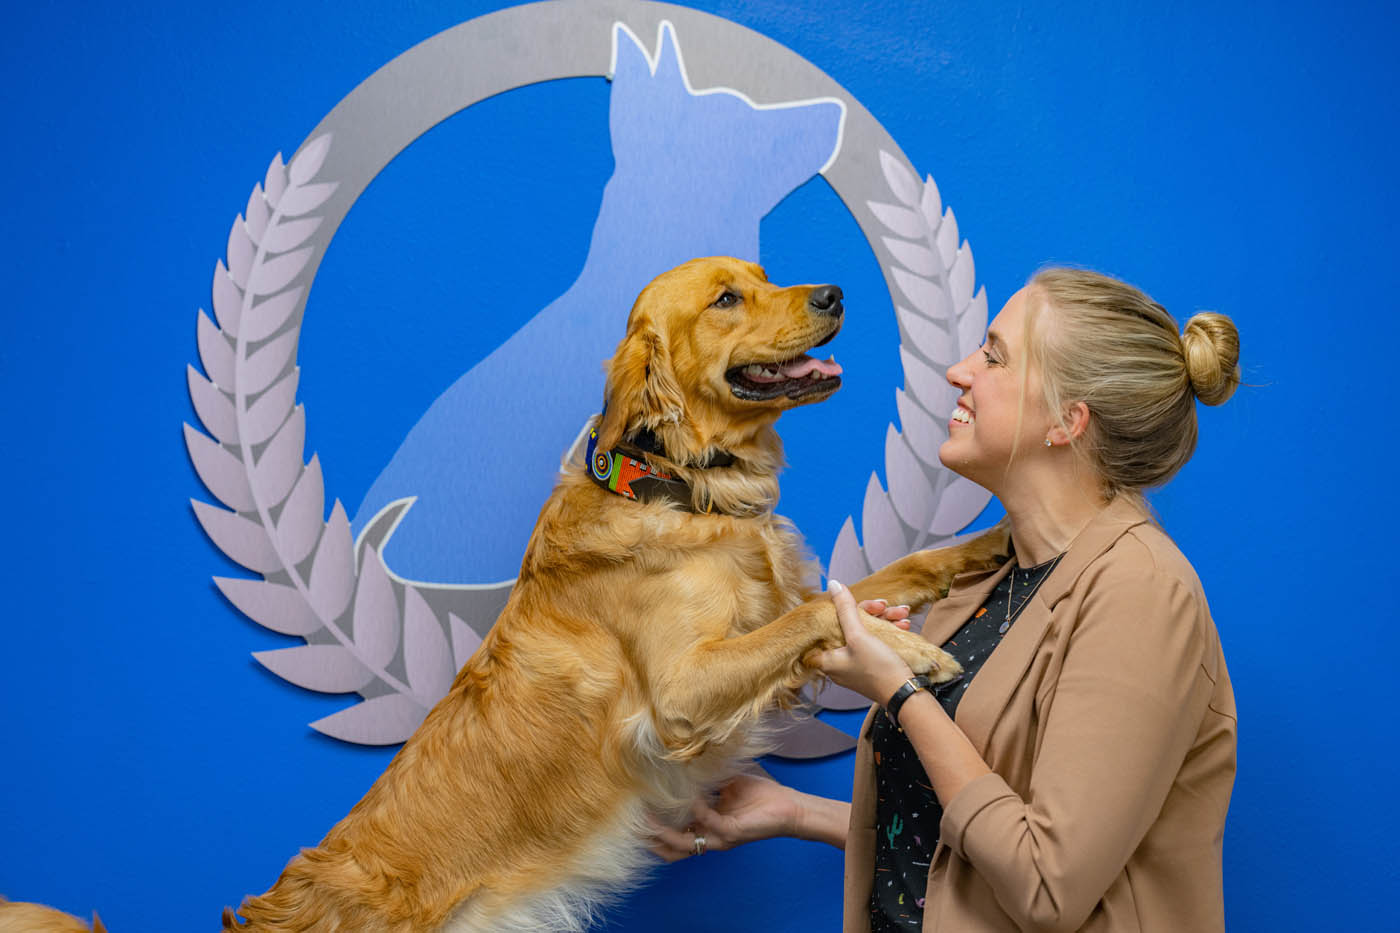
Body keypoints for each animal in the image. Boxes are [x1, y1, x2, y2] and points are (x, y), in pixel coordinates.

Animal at [221, 256, 1008, 930]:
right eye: (727, 298)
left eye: (763, 276)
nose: (834, 293)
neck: (679, 488)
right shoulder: (680, 694)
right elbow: (822, 611)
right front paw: (910, 651)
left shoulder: (773, 610)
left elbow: (901, 567)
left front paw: (992, 542)